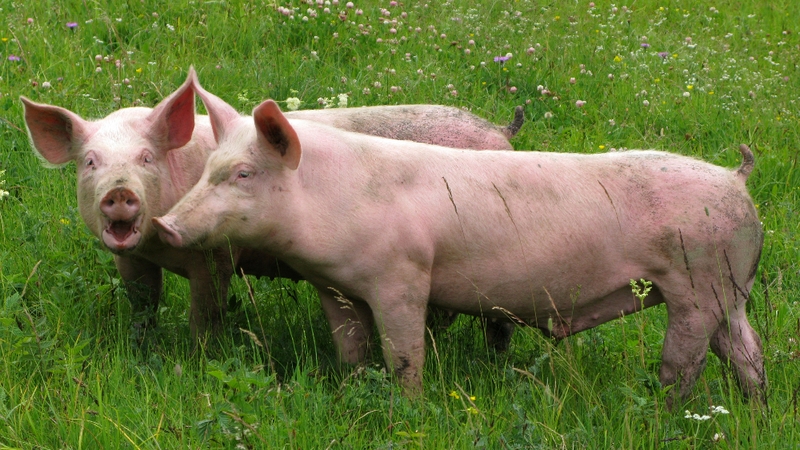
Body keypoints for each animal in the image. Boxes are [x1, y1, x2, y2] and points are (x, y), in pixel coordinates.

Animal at [21, 68, 522, 340]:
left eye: (146, 158)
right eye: (90, 162)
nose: (119, 190)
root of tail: (502, 131)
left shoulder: (216, 256)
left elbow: (207, 313)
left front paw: (196, 358)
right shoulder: (132, 259)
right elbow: (142, 305)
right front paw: (143, 347)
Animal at [153, 90, 765, 406]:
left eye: (244, 173)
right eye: (209, 168)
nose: (164, 224)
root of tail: (735, 179)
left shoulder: (402, 279)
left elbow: (404, 355)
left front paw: (409, 410)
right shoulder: (334, 286)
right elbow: (350, 348)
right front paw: (351, 390)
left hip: (696, 284)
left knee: (684, 364)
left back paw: (667, 413)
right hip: (727, 289)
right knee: (748, 355)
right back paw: (753, 411)